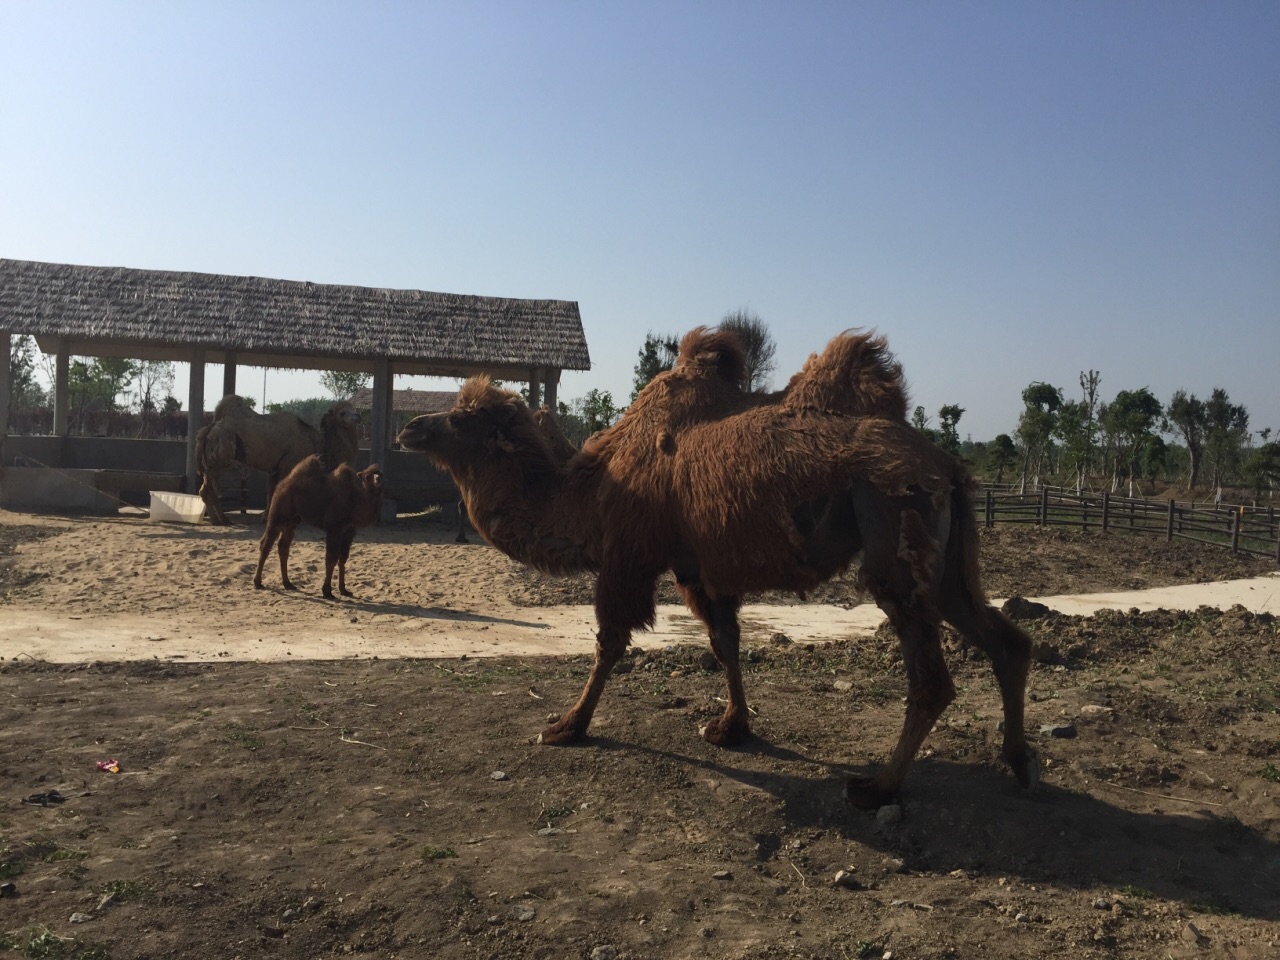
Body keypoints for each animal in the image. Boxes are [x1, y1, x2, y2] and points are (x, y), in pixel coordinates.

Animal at [197, 396, 363, 527]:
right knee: (208, 487)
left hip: (214, 462)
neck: (319, 444)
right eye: (342, 413)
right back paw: (218, 520)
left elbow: (271, 490)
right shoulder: (287, 465)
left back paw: (222, 519)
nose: (358, 416)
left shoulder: (276, 469)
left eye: (353, 409)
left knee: (207, 487)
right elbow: (279, 489)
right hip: (220, 457)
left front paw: (266, 517)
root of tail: (209, 428)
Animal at [252, 455, 384, 599]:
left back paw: (288, 584)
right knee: (266, 544)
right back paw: (258, 582)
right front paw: (327, 591)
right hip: (279, 515)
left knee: (283, 547)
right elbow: (331, 558)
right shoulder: (334, 529)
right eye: (367, 476)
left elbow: (343, 559)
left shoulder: (349, 531)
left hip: (293, 521)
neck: (354, 502)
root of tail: (282, 484)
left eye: (380, 474)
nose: (378, 480)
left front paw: (344, 590)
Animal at [399, 330, 1039, 814]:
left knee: (930, 674)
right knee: (1006, 640)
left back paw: (877, 787)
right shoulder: (696, 569)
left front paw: (566, 726)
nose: (410, 429)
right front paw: (731, 727)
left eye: (464, 419)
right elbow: (725, 641)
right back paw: (1017, 761)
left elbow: (610, 643)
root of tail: (948, 468)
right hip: (948, 563)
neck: (592, 492)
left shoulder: (628, 558)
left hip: (892, 528)